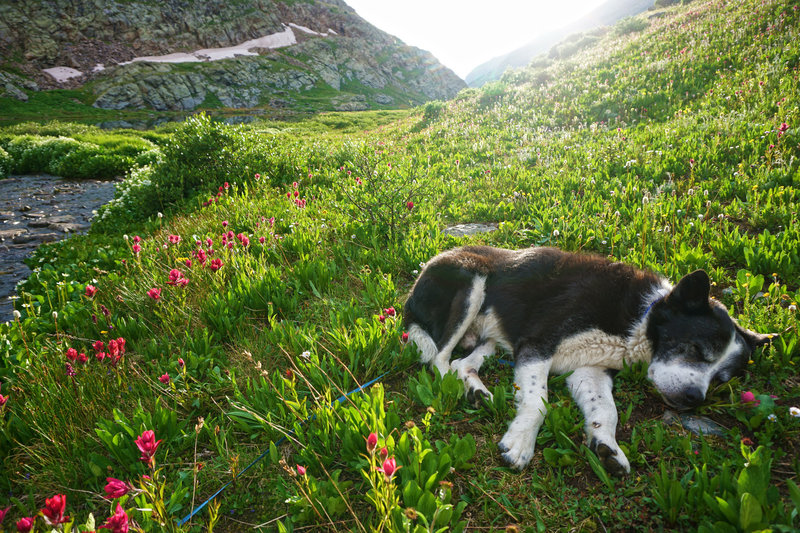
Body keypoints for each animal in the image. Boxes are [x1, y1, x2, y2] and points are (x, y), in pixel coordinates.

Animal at [404, 245, 772, 474]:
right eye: (695, 349)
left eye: (721, 380)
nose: (695, 399)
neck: (637, 320)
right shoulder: (537, 345)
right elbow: (538, 402)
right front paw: (521, 443)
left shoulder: (589, 370)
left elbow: (606, 410)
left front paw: (607, 446)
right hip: (472, 281)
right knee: (440, 359)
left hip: (495, 337)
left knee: (460, 363)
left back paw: (477, 391)